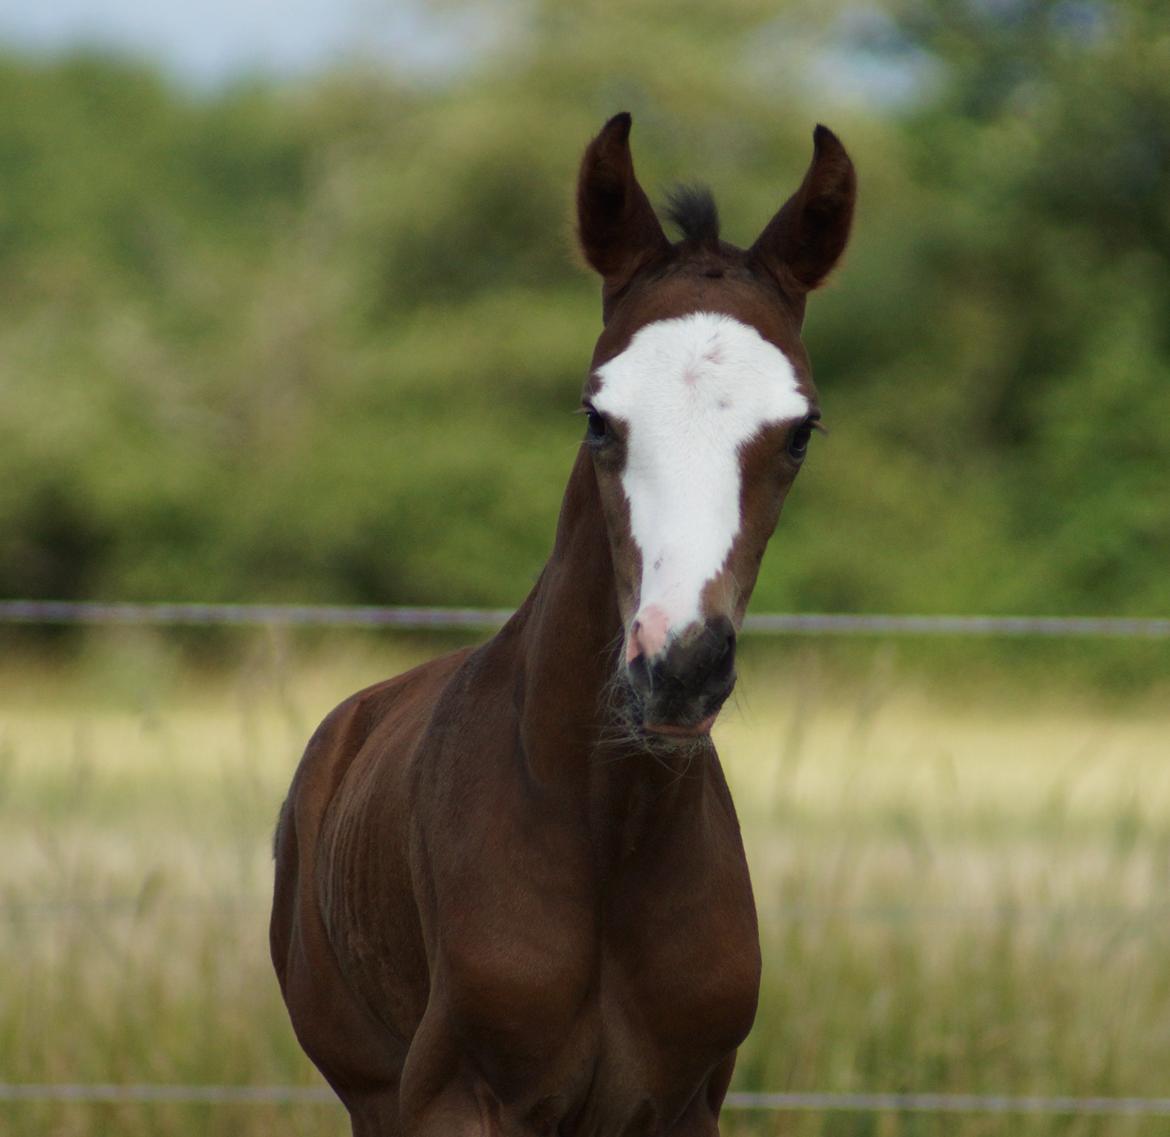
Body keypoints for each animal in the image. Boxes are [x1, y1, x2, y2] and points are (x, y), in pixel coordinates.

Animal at [273, 113, 861, 1137]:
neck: (607, 831)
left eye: (799, 431)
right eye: (597, 417)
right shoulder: (452, 1100)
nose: (679, 665)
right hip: (368, 1090)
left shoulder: (684, 1105)